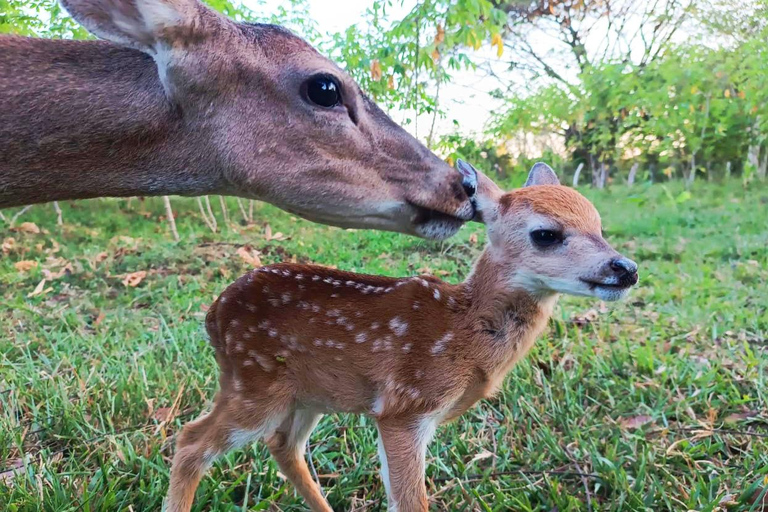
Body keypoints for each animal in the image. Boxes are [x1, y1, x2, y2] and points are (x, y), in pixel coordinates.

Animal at [168, 163, 640, 512]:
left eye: (599, 225)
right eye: (545, 233)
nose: (626, 268)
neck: (462, 329)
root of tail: (212, 316)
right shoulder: (405, 404)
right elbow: (412, 501)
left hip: (306, 393)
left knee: (282, 446)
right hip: (255, 382)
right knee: (191, 441)